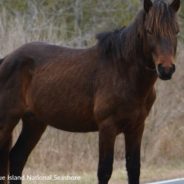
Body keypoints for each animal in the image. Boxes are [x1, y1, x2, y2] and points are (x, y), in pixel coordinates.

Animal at [0, 0, 180, 183]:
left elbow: (133, 168)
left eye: (176, 31)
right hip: (7, 120)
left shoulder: (136, 127)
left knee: (17, 158)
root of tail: (7, 59)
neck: (122, 71)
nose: (166, 69)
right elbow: (104, 170)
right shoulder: (107, 127)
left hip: (34, 122)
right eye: (149, 31)